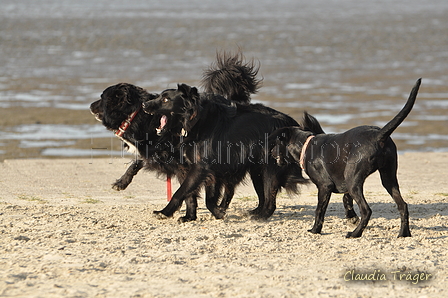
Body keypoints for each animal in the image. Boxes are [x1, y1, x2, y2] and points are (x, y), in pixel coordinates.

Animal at [144, 82, 308, 220]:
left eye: (166, 100)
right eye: (159, 96)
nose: (144, 104)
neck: (195, 121)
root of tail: (292, 125)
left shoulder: (201, 167)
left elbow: (182, 192)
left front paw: (164, 212)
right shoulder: (205, 169)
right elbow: (201, 197)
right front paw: (193, 216)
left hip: (270, 167)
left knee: (270, 201)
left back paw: (260, 217)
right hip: (257, 170)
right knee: (263, 196)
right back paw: (255, 213)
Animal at [272, 78, 422, 237]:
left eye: (276, 143)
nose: (271, 152)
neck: (305, 146)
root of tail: (379, 135)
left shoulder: (324, 186)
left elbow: (319, 210)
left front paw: (315, 230)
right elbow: (346, 198)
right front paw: (351, 217)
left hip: (353, 179)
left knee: (366, 210)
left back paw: (355, 233)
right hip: (388, 177)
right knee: (403, 205)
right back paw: (404, 233)